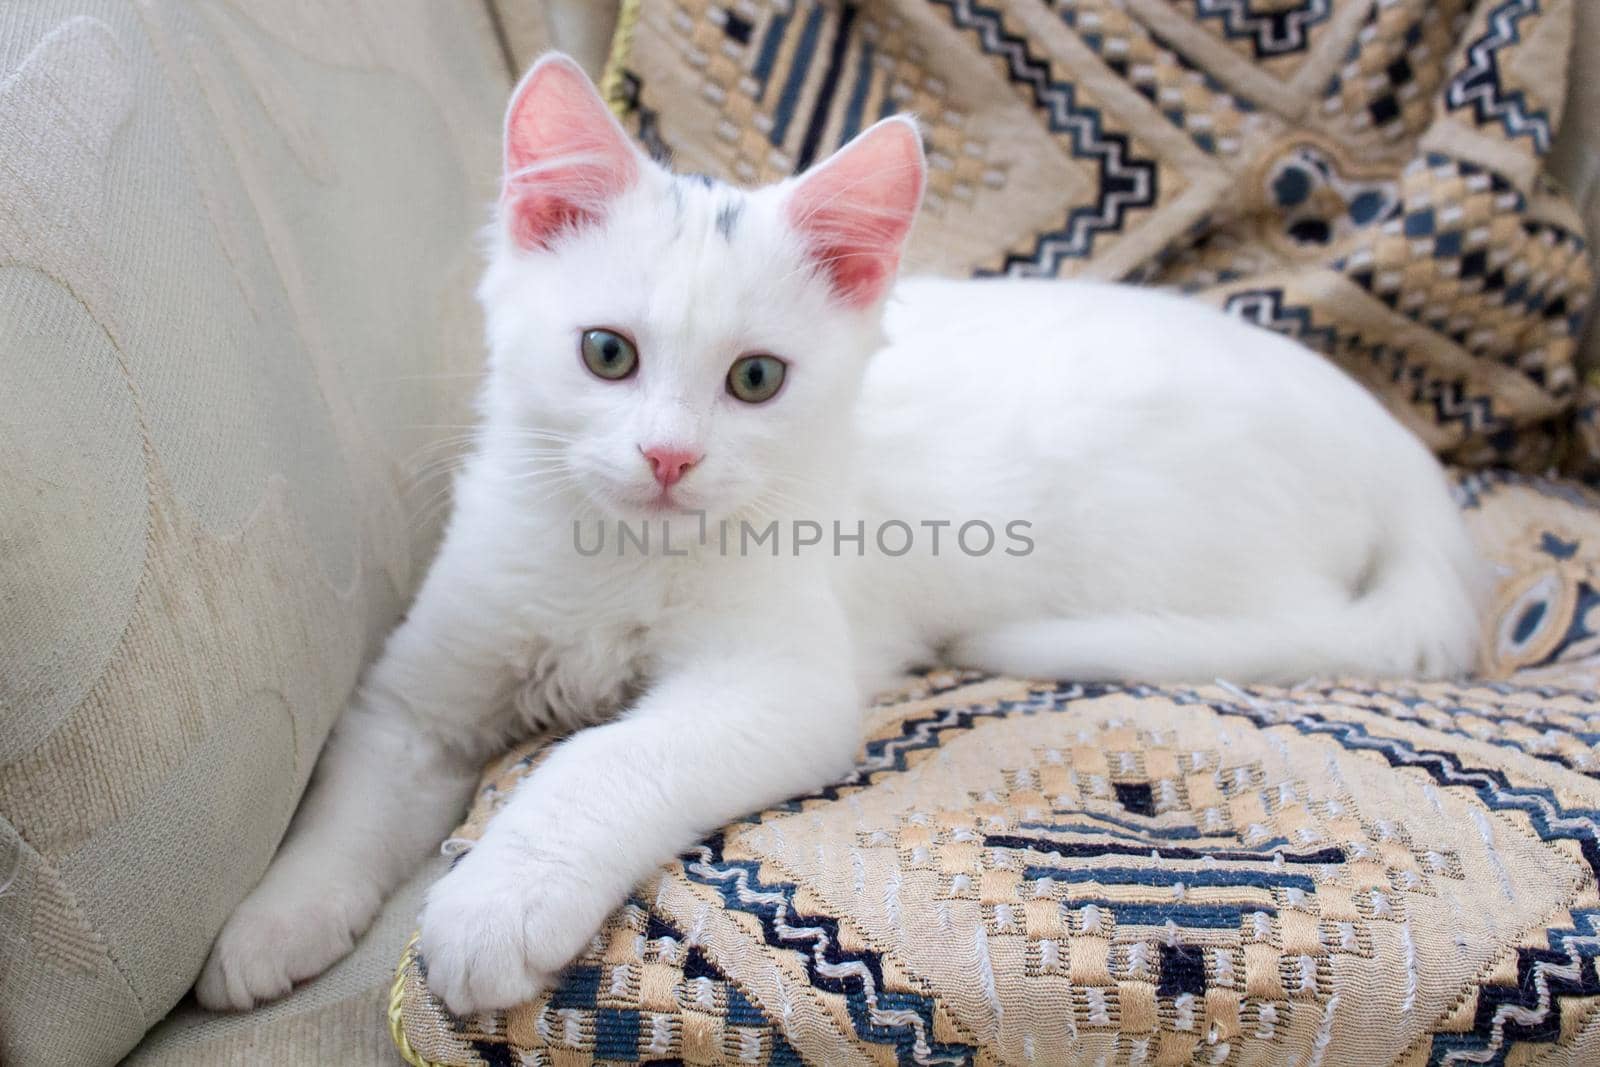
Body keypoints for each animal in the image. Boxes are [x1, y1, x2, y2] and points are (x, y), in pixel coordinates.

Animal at [200, 51, 1484, 1017]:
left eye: (756, 379)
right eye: (606, 354)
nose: (669, 458)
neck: (617, 557)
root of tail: (1397, 448)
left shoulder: (780, 684)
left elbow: (599, 758)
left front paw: (496, 899)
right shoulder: (415, 693)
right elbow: (348, 801)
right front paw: (267, 924)